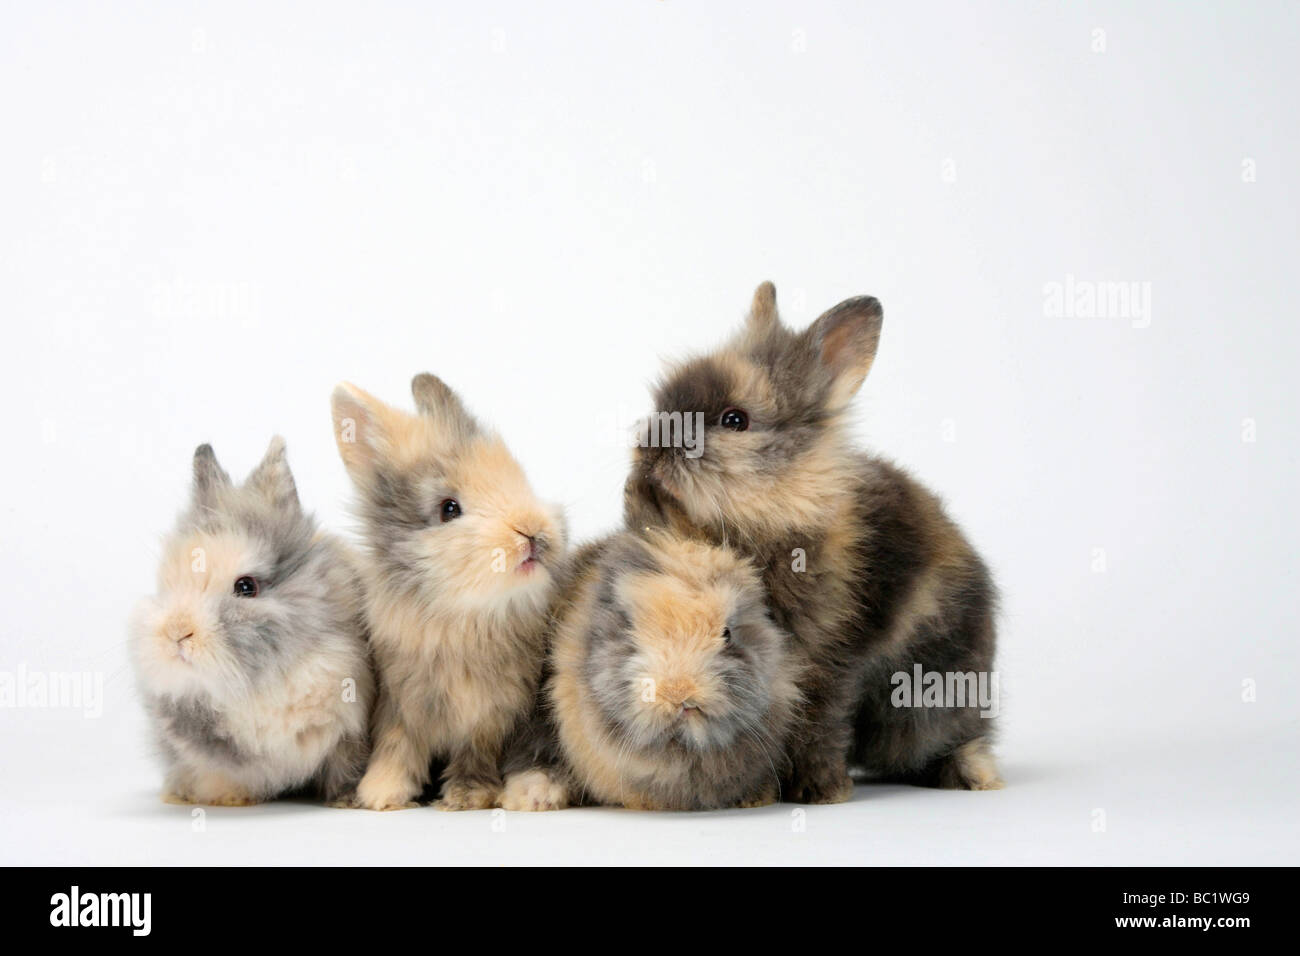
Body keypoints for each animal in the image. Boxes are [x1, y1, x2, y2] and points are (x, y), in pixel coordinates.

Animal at [128, 439, 374, 806]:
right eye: (169, 582)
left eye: (246, 587)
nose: (177, 632)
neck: (258, 686)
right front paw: (225, 799)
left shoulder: (350, 729)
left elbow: (345, 766)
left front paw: (347, 800)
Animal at [330, 371, 564, 806]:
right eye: (449, 509)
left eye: (516, 475)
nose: (533, 531)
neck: (460, 616)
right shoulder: (401, 703)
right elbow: (397, 744)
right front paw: (380, 793)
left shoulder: (489, 715)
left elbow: (475, 752)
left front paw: (469, 796)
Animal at [624, 280, 998, 806]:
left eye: (734, 420)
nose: (650, 453)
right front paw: (755, 794)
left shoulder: (828, 659)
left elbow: (817, 722)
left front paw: (820, 790)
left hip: (938, 694)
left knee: (958, 735)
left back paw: (972, 774)